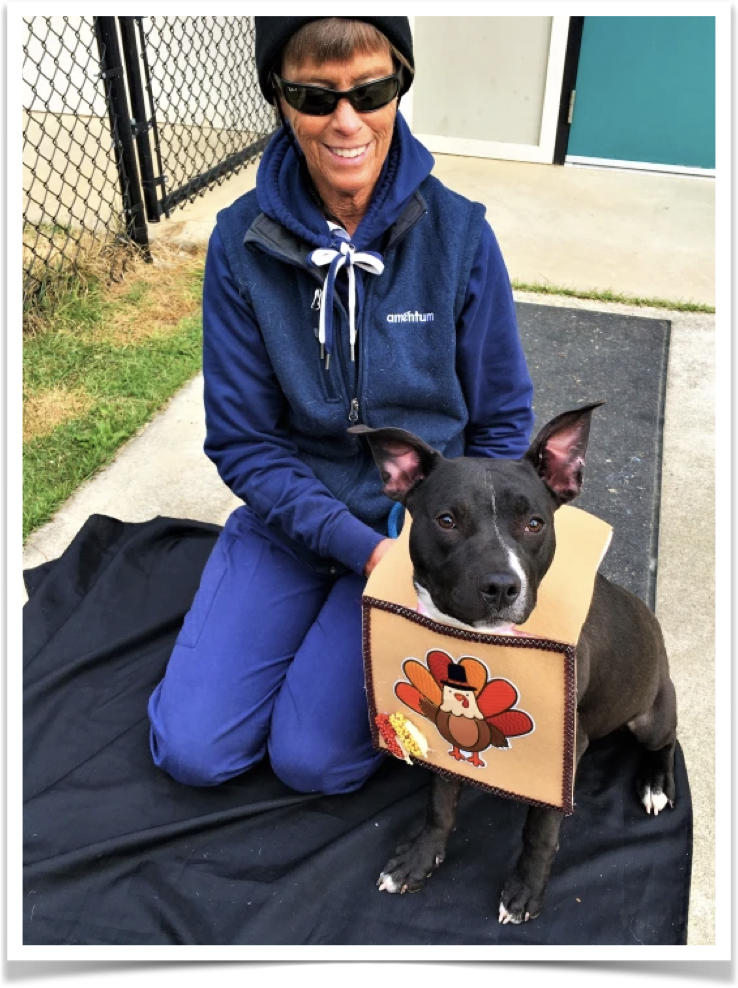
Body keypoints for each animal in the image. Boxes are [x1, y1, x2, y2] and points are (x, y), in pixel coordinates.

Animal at [348, 404, 676, 928]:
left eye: (535, 523)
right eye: (446, 520)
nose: (502, 586)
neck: (482, 641)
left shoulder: (561, 753)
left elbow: (539, 832)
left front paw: (525, 891)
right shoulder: (443, 732)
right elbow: (440, 802)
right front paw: (419, 860)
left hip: (650, 712)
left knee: (667, 739)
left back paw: (655, 783)